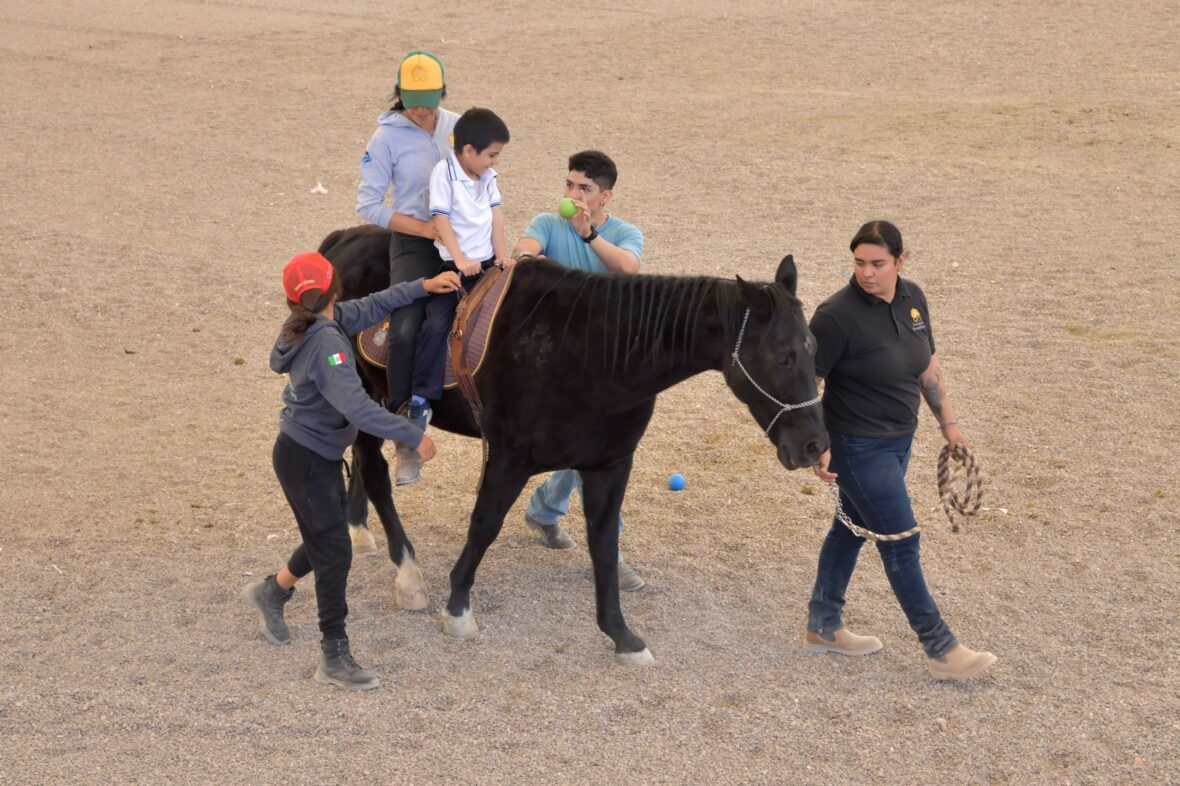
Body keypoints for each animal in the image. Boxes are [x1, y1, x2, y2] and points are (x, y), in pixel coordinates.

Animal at [318, 225, 825, 660]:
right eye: (782, 357)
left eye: (813, 348)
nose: (814, 445)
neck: (598, 353)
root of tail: (344, 239)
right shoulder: (508, 458)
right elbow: (484, 526)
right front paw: (458, 607)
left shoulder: (609, 464)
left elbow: (603, 542)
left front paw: (621, 634)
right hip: (366, 401)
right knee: (375, 472)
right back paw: (407, 574)